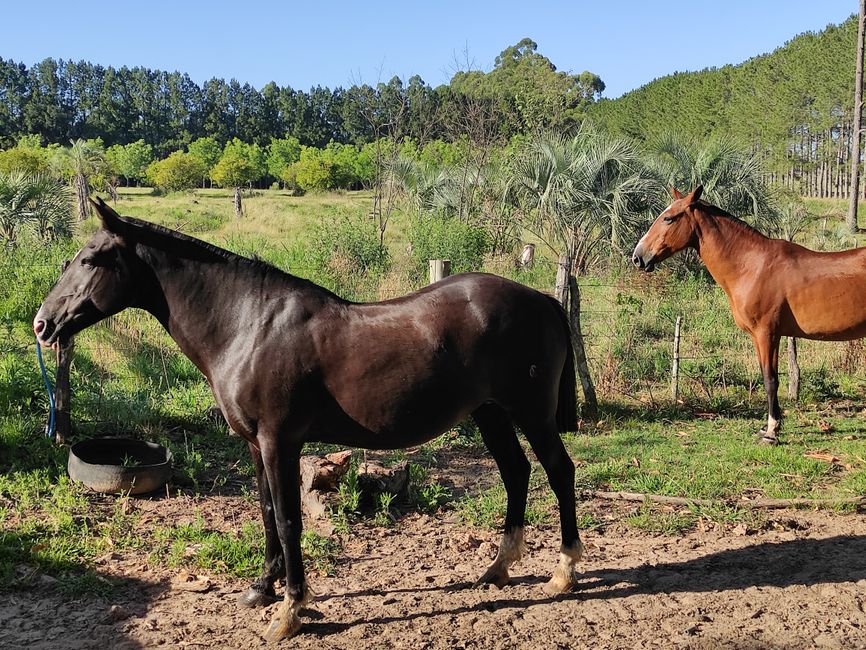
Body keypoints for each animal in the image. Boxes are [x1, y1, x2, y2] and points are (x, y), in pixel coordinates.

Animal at [37, 199, 584, 644]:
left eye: (90, 259)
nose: (42, 324)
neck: (248, 325)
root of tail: (542, 299)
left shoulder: (280, 442)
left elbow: (288, 519)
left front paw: (290, 611)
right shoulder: (255, 445)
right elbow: (264, 513)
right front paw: (262, 588)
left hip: (530, 415)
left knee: (559, 472)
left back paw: (564, 571)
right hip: (491, 415)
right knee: (516, 472)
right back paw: (498, 568)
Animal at [628, 185, 864, 442]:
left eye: (668, 218)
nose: (638, 257)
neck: (753, 266)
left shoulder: (766, 334)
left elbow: (771, 380)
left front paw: (771, 431)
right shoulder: (761, 337)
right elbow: (767, 375)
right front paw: (771, 426)